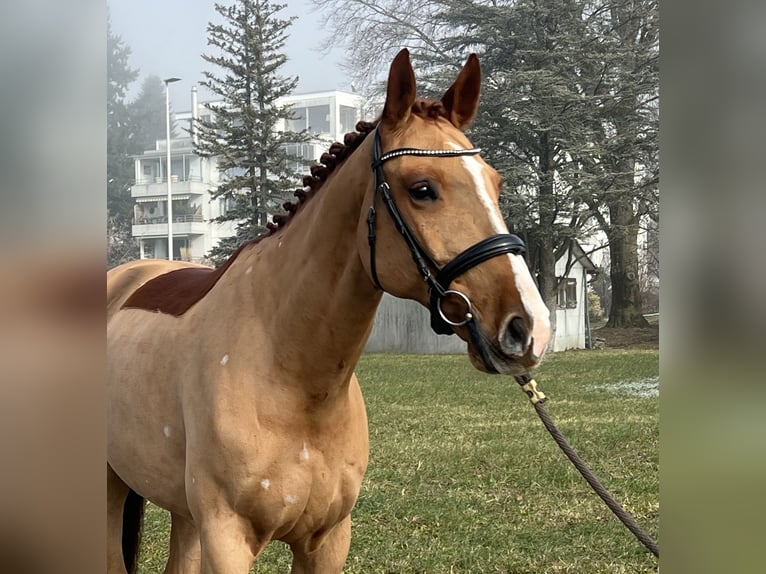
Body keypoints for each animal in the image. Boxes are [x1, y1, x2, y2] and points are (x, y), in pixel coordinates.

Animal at [108, 50, 552, 574]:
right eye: (422, 188)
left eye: (495, 184)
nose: (530, 327)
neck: (293, 378)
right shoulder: (227, 537)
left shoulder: (327, 540)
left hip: (184, 512)